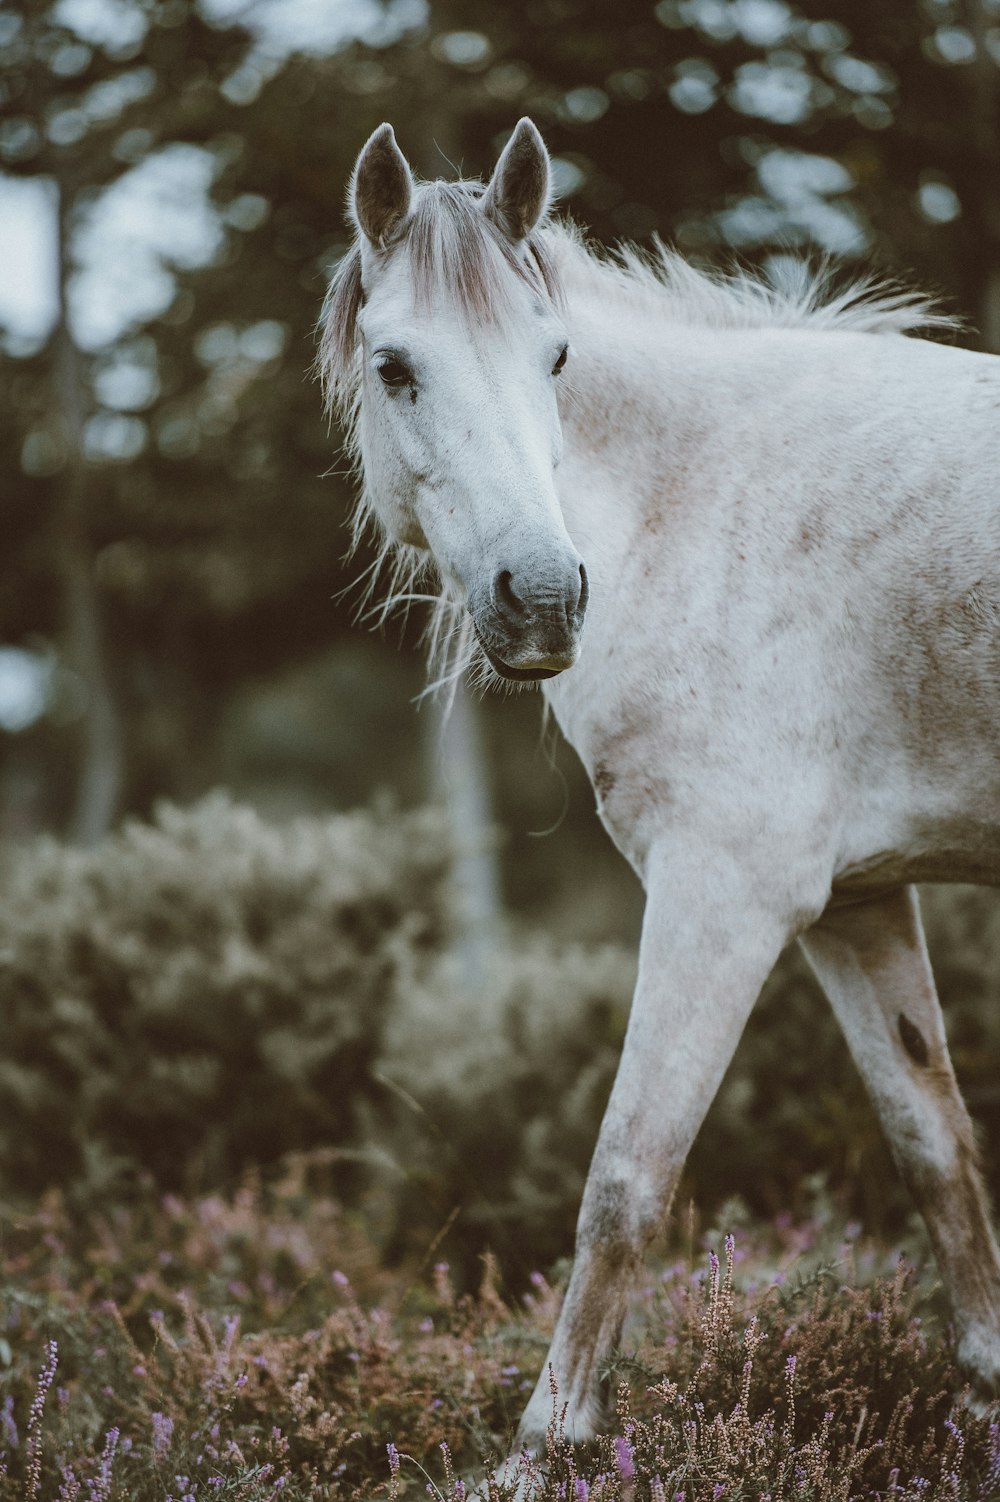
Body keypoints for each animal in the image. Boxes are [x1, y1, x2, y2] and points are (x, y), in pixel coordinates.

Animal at [316, 117, 996, 1453]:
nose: (542, 596)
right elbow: (932, 1140)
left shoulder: (721, 892)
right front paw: (983, 1396)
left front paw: (545, 1444)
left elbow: (625, 1176)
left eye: (555, 356)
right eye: (396, 367)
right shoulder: (854, 902)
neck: (698, 502)